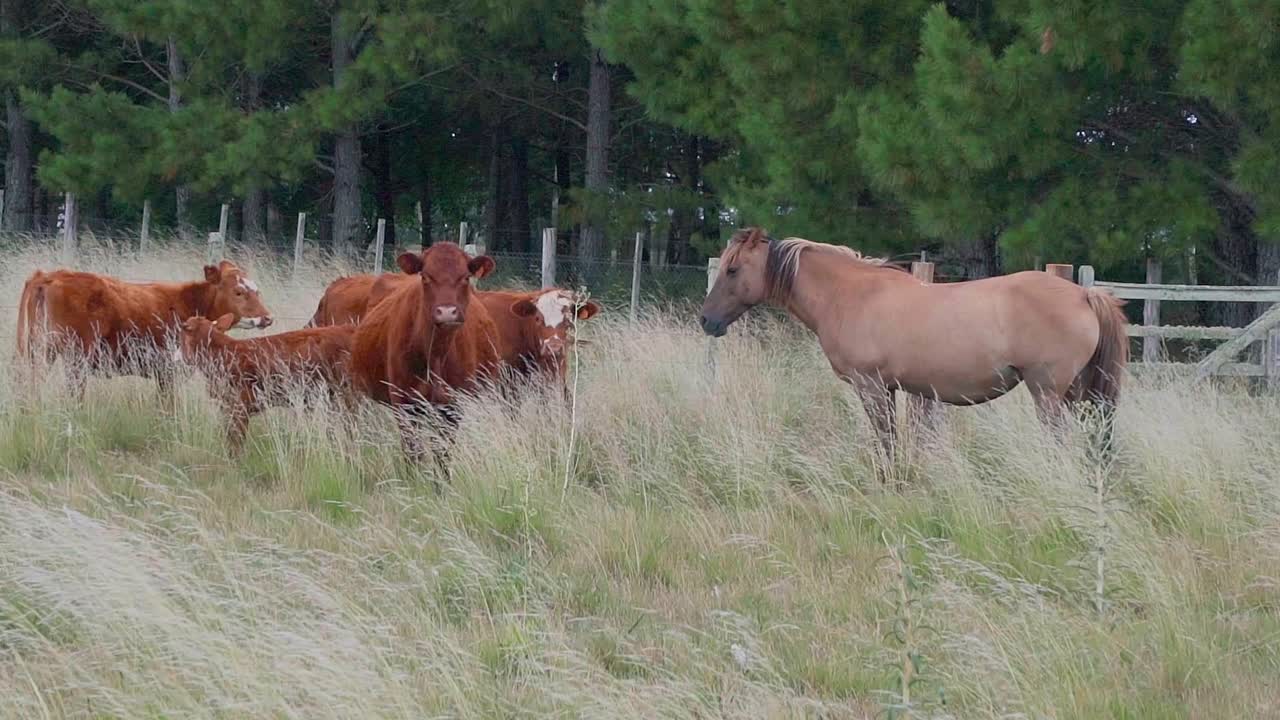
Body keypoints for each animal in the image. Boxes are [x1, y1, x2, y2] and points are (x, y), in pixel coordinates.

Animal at [699, 228, 1128, 468]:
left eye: (733, 269)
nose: (706, 321)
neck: (849, 295)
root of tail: (1084, 295)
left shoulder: (871, 388)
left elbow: (887, 441)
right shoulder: (892, 390)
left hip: (1048, 393)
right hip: (1077, 394)